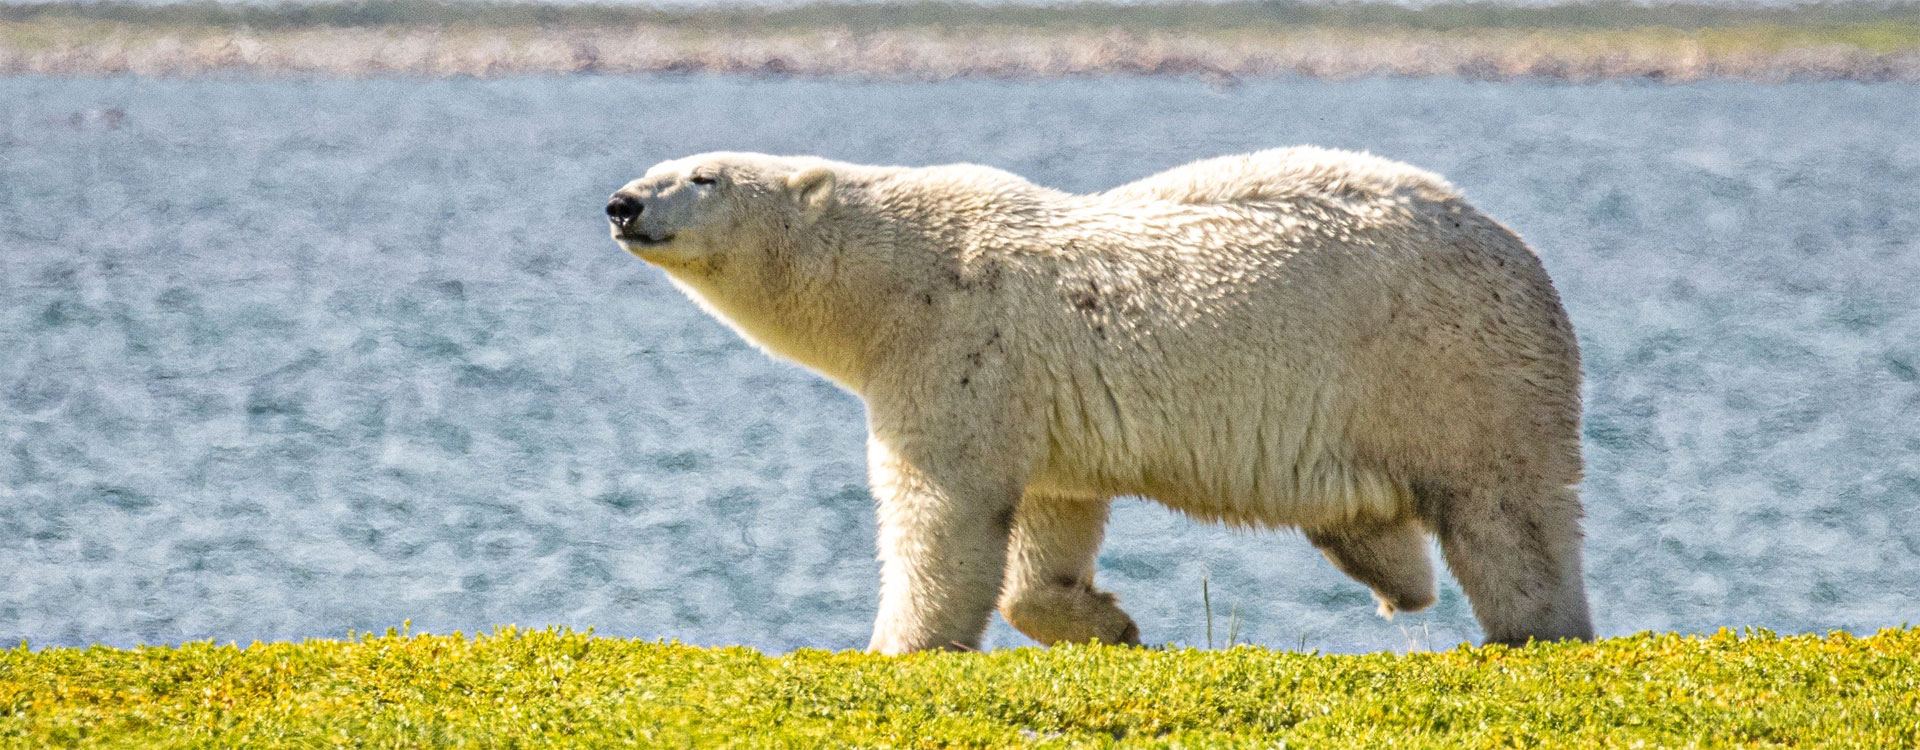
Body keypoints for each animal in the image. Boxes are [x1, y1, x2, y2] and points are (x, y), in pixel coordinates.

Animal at [605, 148, 1594, 654]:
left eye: (703, 176)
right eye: (661, 161)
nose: (621, 203)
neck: (900, 272)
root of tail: (1528, 259)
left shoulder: (961, 348)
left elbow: (941, 508)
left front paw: (900, 651)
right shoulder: (1044, 397)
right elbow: (1052, 518)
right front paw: (1108, 623)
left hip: (1453, 369)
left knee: (1510, 520)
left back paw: (1532, 631)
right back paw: (1397, 581)